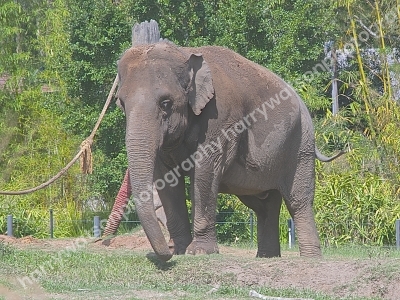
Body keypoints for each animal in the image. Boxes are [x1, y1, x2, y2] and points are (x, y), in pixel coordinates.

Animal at [116, 41, 344, 260]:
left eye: (166, 103)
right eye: (121, 103)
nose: (166, 252)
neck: (184, 53)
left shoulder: (221, 118)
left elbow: (205, 172)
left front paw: (199, 252)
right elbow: (167, 180)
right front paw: (180, 251)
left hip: (301, 146)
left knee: (298, 201)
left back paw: (311, 259)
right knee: (264, 205)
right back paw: (266, 257)